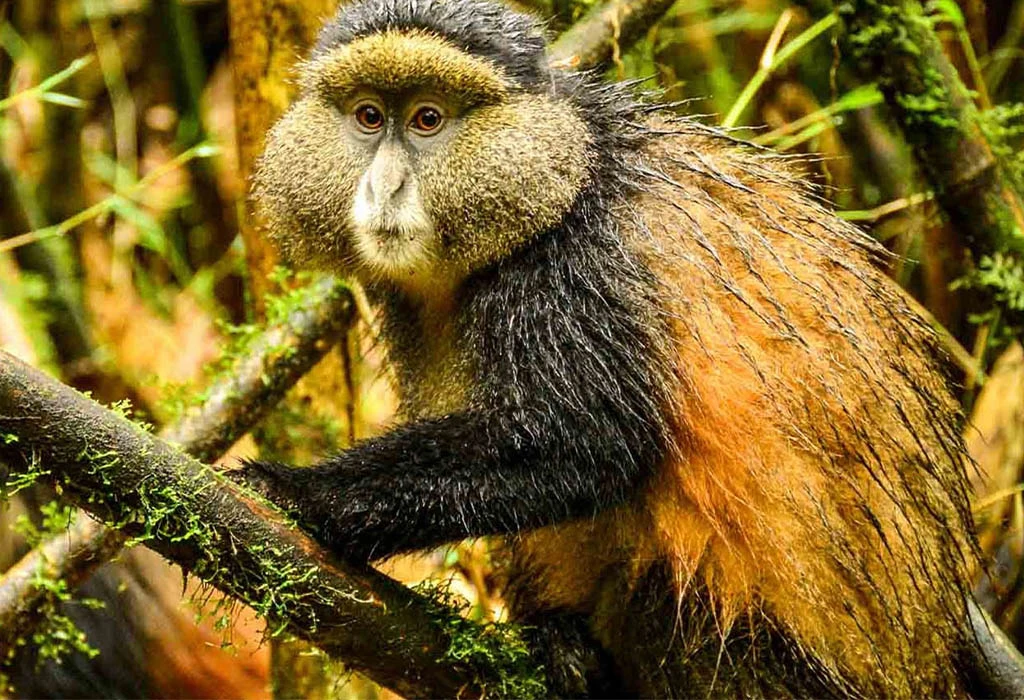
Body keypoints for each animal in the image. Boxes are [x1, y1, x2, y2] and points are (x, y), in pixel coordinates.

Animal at [241, 0, 991, 695]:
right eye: (369, 117)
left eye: (428, 119)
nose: (386, 186)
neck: (566, 168)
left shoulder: (575, 267)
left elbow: (586, 443)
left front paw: (296, 492)